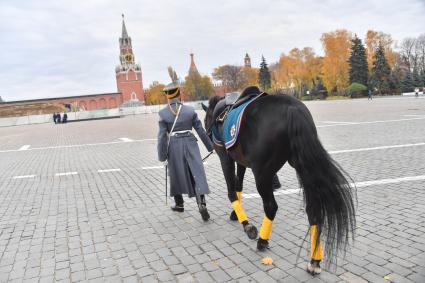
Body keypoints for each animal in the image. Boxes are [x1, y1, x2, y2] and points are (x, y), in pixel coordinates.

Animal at [202, 87, 354, 276]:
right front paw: (235, 215)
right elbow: (239, 185)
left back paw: (262, 240)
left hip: (262, 174)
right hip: (302, 166)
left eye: (204, 119)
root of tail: (292, 109)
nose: (207, 133)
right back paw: (314, 260)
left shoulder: (226, 158)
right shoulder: (241, 161)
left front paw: (247, 225)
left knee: (271, 206)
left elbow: (232, 191)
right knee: (313, 210)